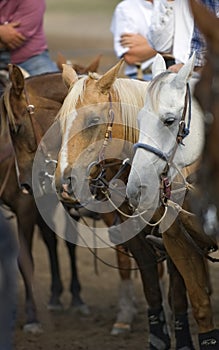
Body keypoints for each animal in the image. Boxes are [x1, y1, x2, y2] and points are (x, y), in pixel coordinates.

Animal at [53, 60, 198, 350]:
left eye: (94, 120)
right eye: (60, 121)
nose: (64, 184)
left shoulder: (177, 240)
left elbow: (178, 293)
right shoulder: (137, 242)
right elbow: (152, 291)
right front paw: (157, 337)